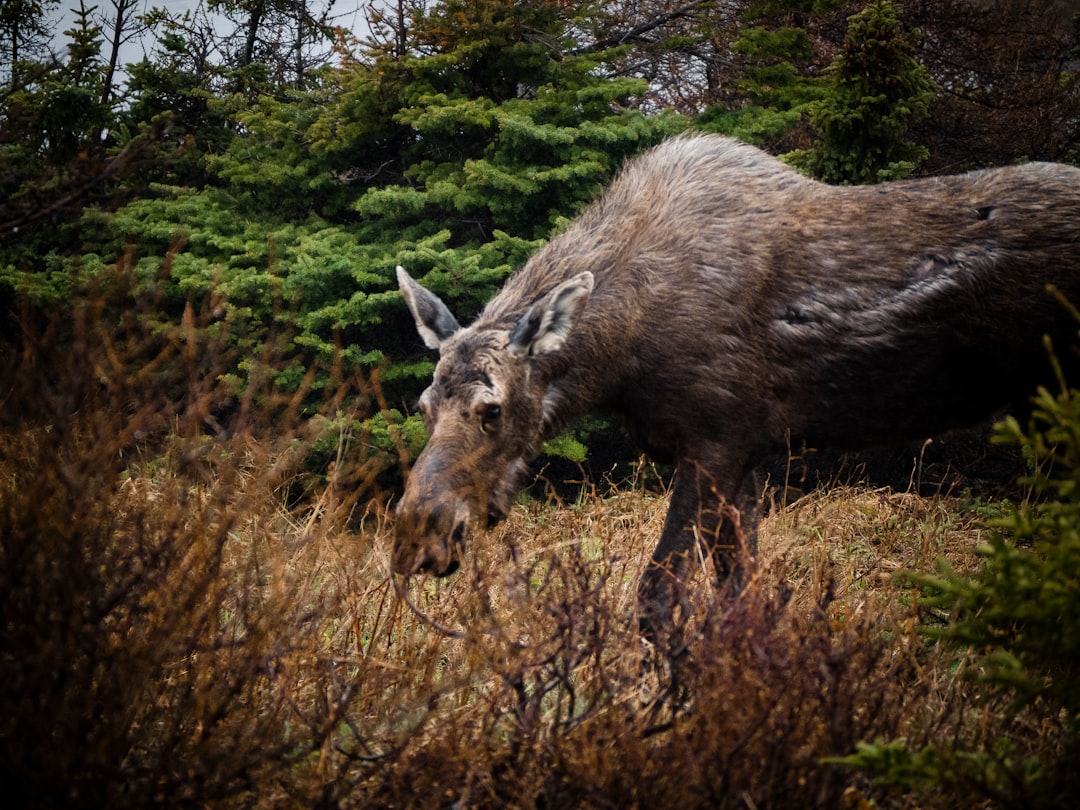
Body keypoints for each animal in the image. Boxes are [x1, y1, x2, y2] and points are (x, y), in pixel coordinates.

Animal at [393, 135, 1080, 635]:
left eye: (492, 409)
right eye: (423, 406)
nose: (418, 535)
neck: (618, 355)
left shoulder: (714, 444)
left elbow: (658, 601)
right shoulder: (744, 455)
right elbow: (738, 598)